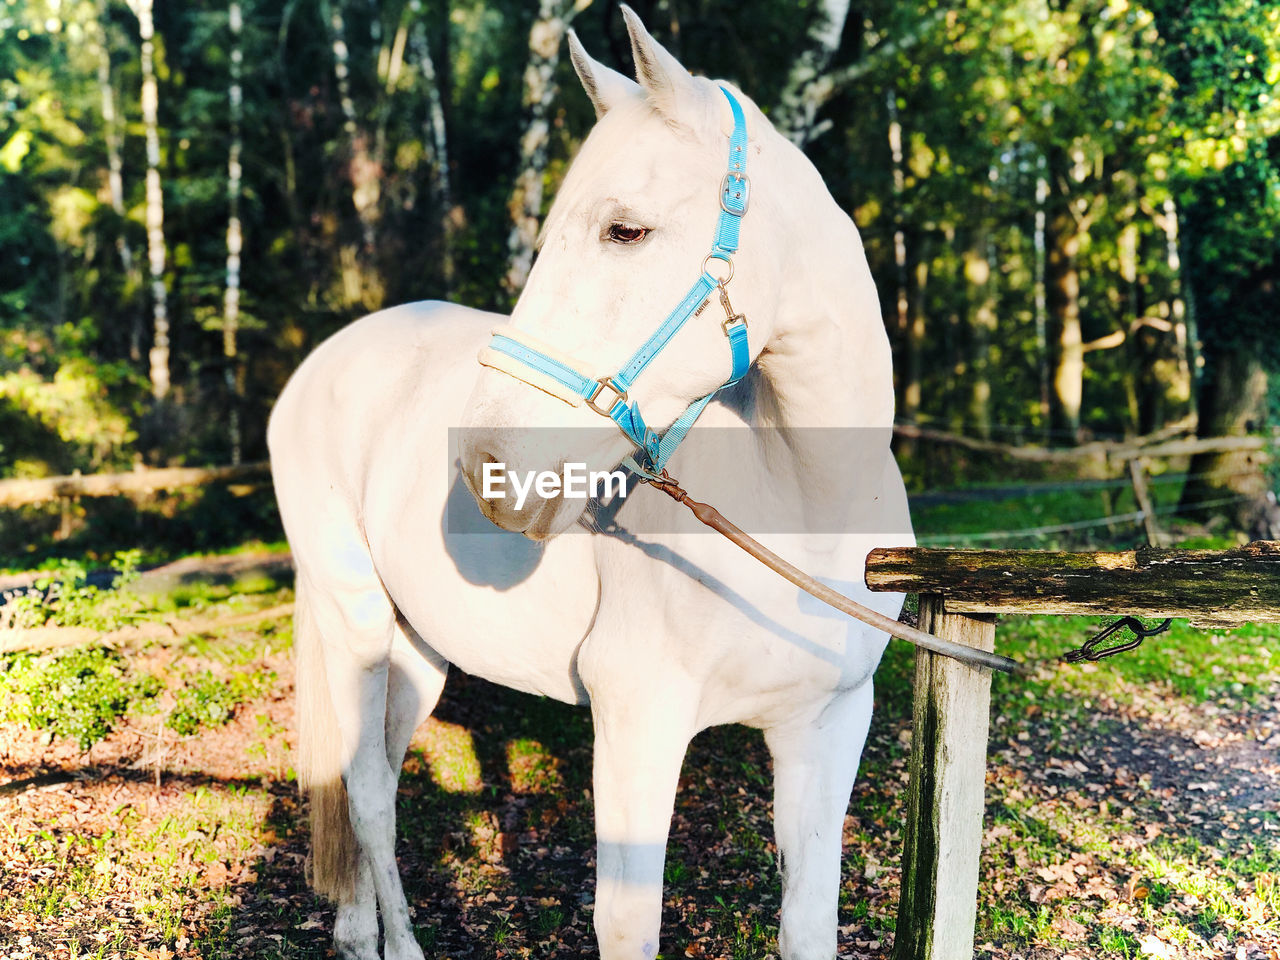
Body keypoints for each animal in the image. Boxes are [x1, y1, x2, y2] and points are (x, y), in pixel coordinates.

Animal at [267, 9, 911, 960]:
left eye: (626, 231)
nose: (485, 468)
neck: (804, 510)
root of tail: (322, 364)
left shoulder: (826, 730)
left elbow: (808, 920)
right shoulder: (638, 725)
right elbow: (627, 923)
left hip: (417, 651)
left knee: (361, 780)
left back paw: (354, 932)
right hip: (355, 626)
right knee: (374, 799)